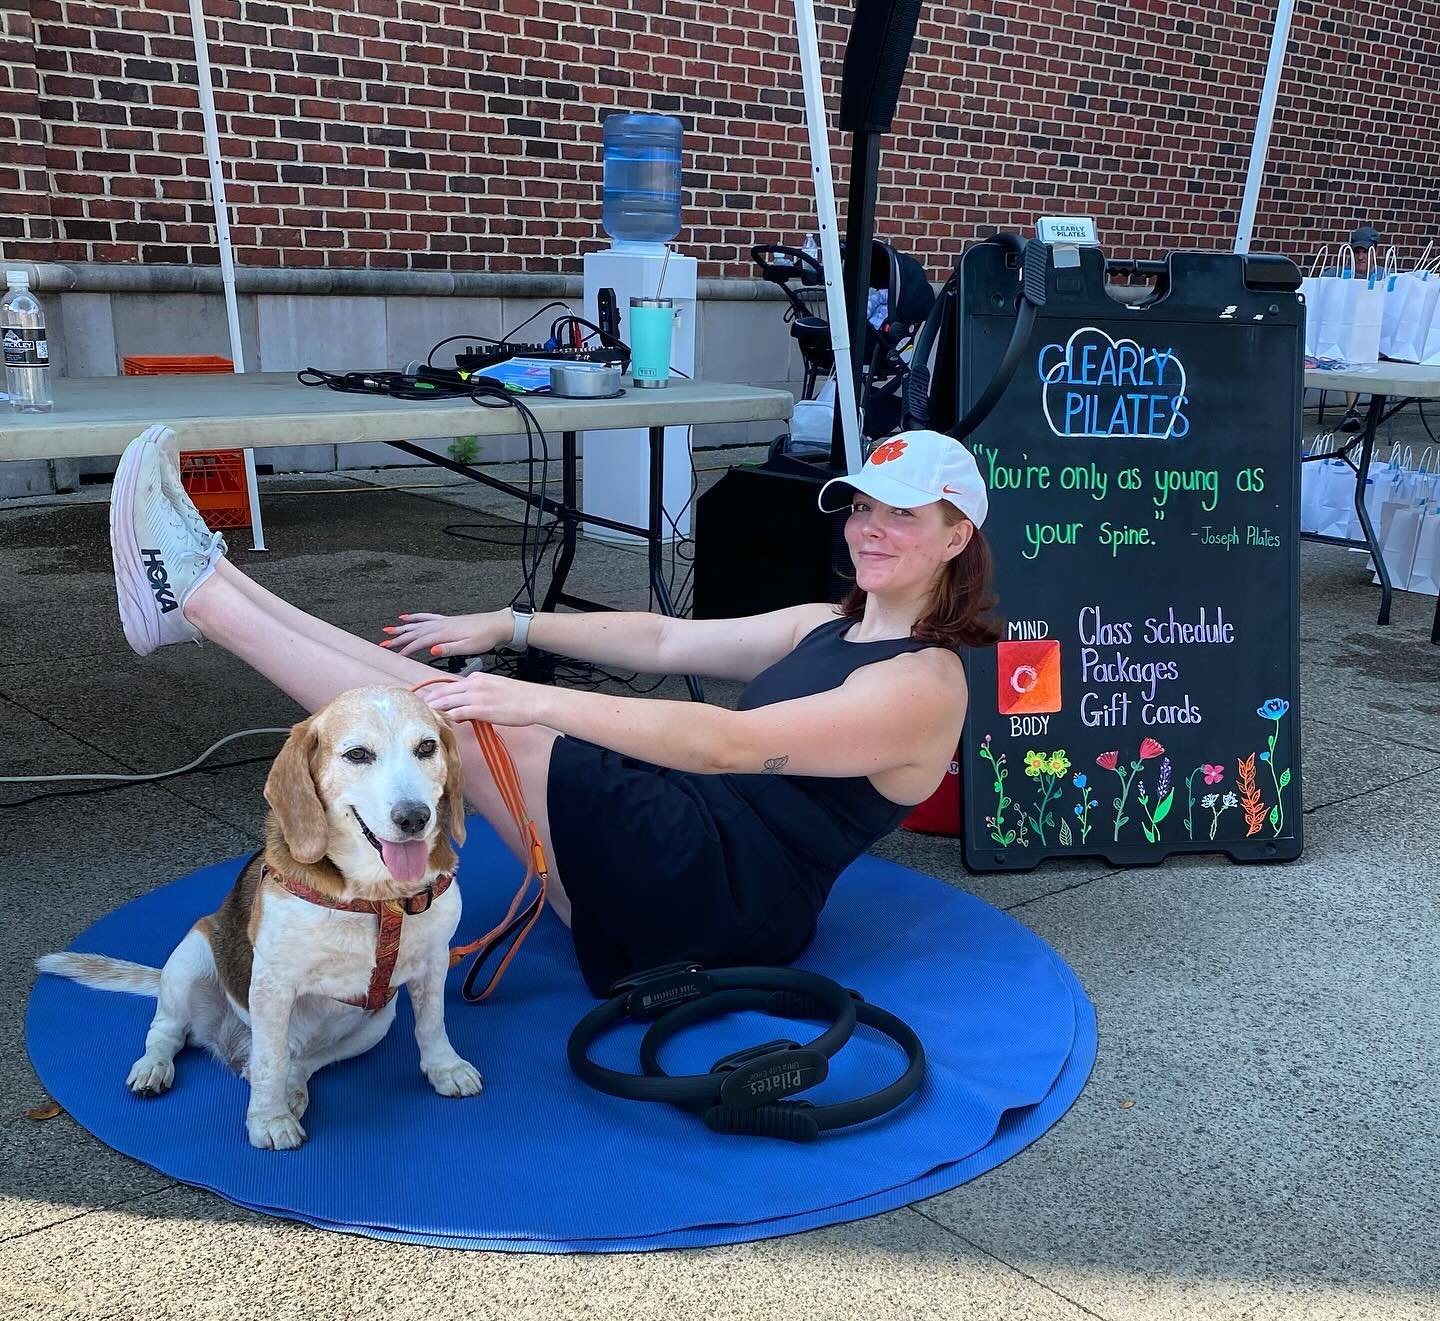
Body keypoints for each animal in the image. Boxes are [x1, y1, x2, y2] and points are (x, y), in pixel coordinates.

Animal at [33, 685, 480, 1146]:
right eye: (357, 755)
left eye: (426, 747)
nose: (414, 818)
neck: (378, 897)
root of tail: (229, 1043)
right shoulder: (272, 984)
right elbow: (270, 1060)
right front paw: (268, 1120)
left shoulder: (434, 961)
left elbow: (432, 1024)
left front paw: (445, 1068)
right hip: (189, 959)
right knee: (171, 1033)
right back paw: (154, 1067)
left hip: (376, 1022)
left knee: (301, 1060)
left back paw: (294, 1087)